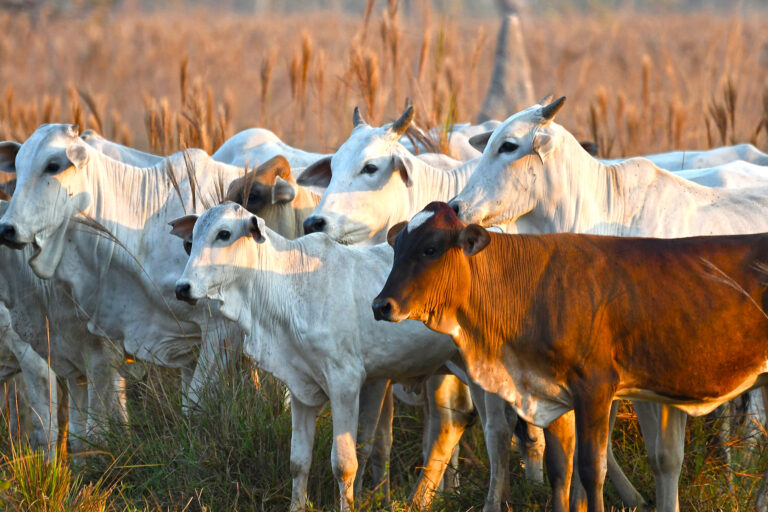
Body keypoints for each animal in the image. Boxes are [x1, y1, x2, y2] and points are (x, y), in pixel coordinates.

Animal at [373, 201, 768, 512]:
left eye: (430, 249)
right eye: (397, 248)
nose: (380, 305)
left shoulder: (594, 388)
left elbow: (591, 469)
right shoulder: (550, 391)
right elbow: (559, 468)